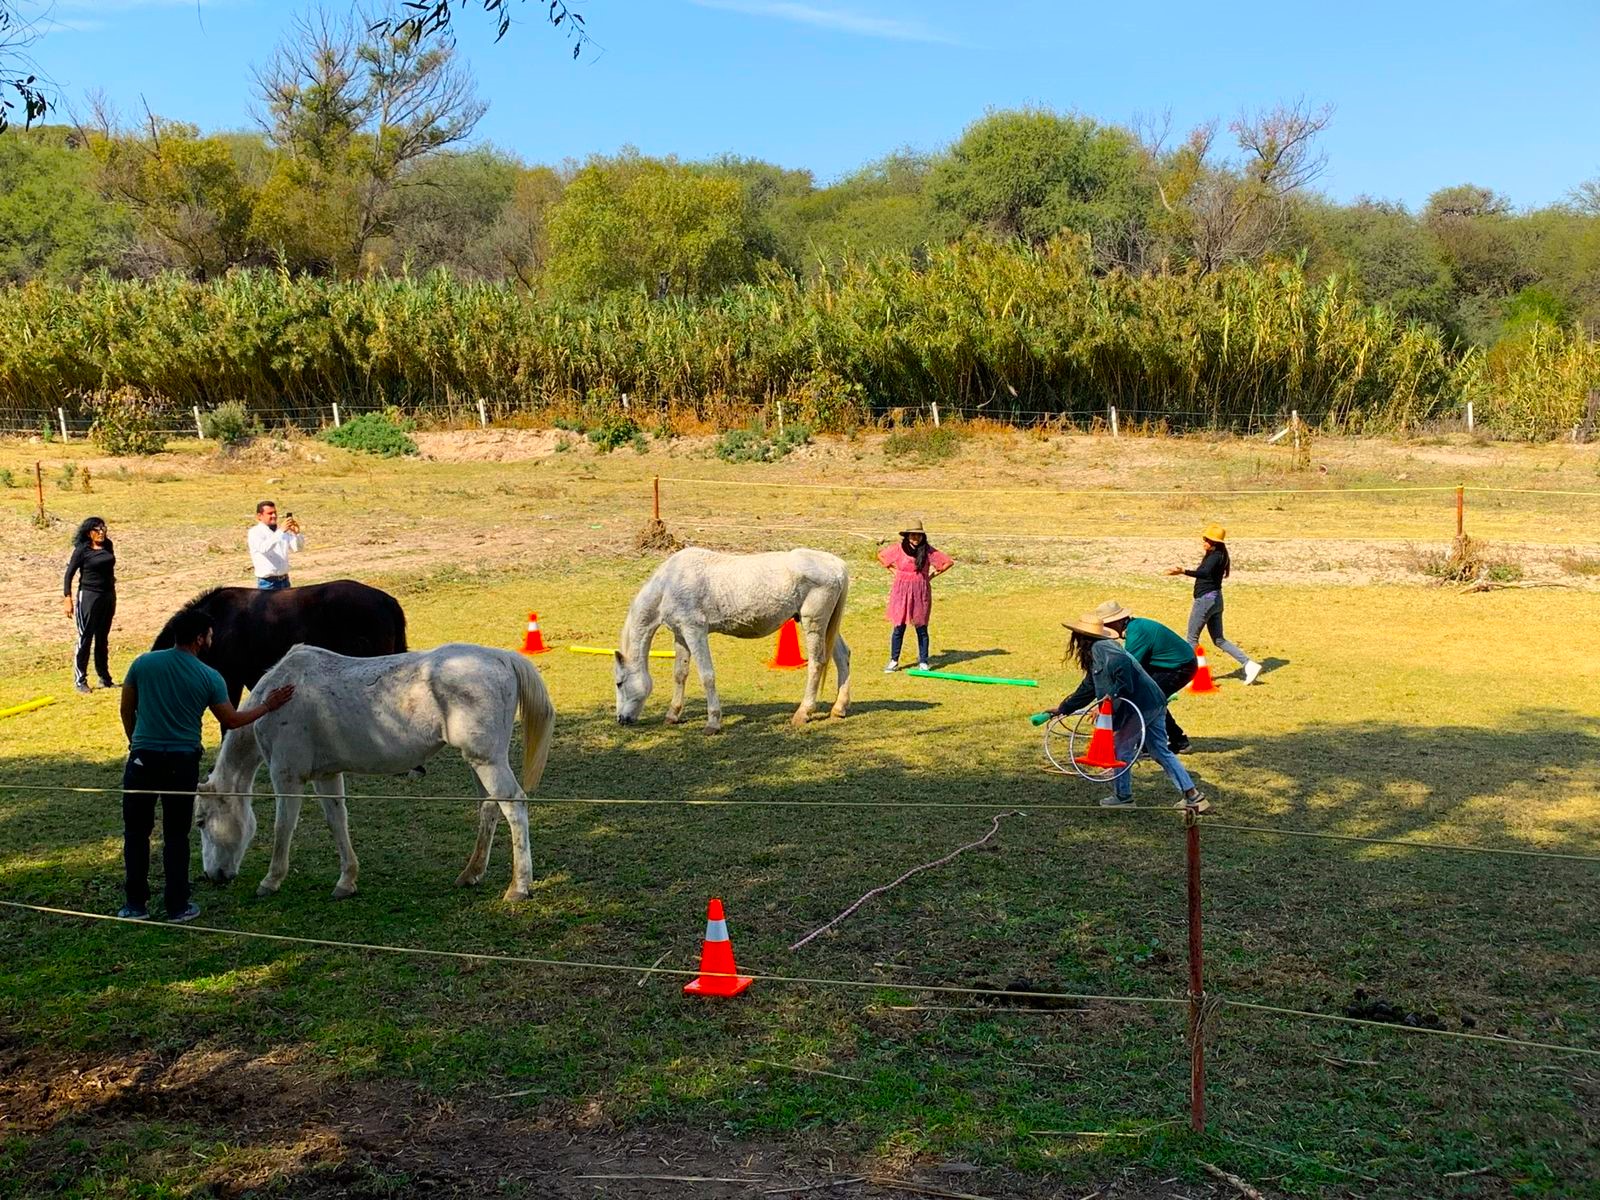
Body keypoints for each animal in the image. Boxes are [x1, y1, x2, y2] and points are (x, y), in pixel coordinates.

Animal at [196, 649, 556, 902]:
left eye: (200, 821)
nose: (212, 875)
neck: (280, 695)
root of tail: (502, 657)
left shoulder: (287, 776)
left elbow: (283, 827)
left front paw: (270, 881)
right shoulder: (326, 775)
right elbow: (337, 822)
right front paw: (346, 881)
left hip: (487, 762)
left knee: (514, 806)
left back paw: (519, 886)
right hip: (479, 764)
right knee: (489, 808)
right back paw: (471, 873)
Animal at [611, 547, 851, 732]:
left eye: (619, 682)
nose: (621, 719)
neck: (669, 584)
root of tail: (837, 565)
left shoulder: (695, 631)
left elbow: (707, 676)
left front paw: (713, 723)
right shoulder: (681, 635)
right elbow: (680, 674)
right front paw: (673, 714)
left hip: (814, 624)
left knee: (817, 663)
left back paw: (803, 713)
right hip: (828, 626)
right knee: (842, 657)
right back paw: (839, 708)